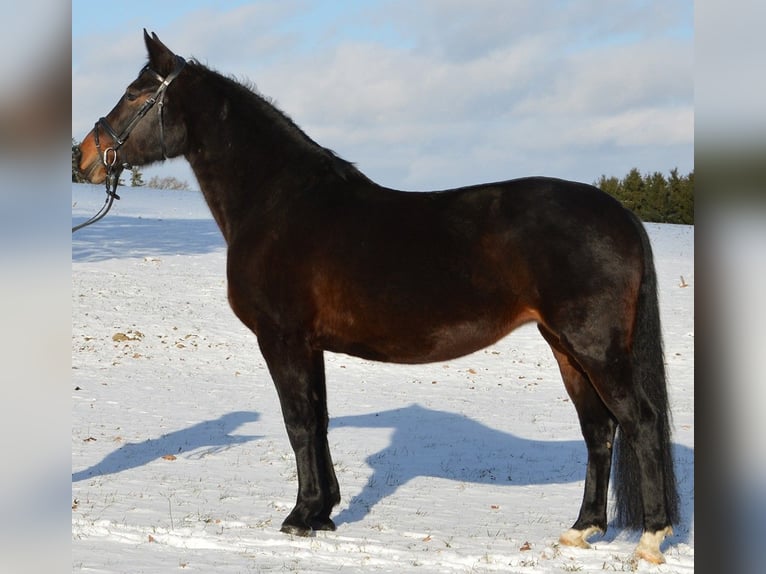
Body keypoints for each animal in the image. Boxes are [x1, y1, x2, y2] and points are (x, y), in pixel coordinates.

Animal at [77, 31, 679, 564]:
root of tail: (620, 215)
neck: (279, 204)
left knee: (641, 422)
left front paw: (300, 517)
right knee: (599, 429)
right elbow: (318, 419)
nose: (85, 155)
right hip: (565, 347)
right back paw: (582, 529)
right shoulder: (309, 344)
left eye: (134, 93)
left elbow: (298, 422)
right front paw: (322, 513)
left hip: (595, 348)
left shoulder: (281, 339)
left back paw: (651, 538)